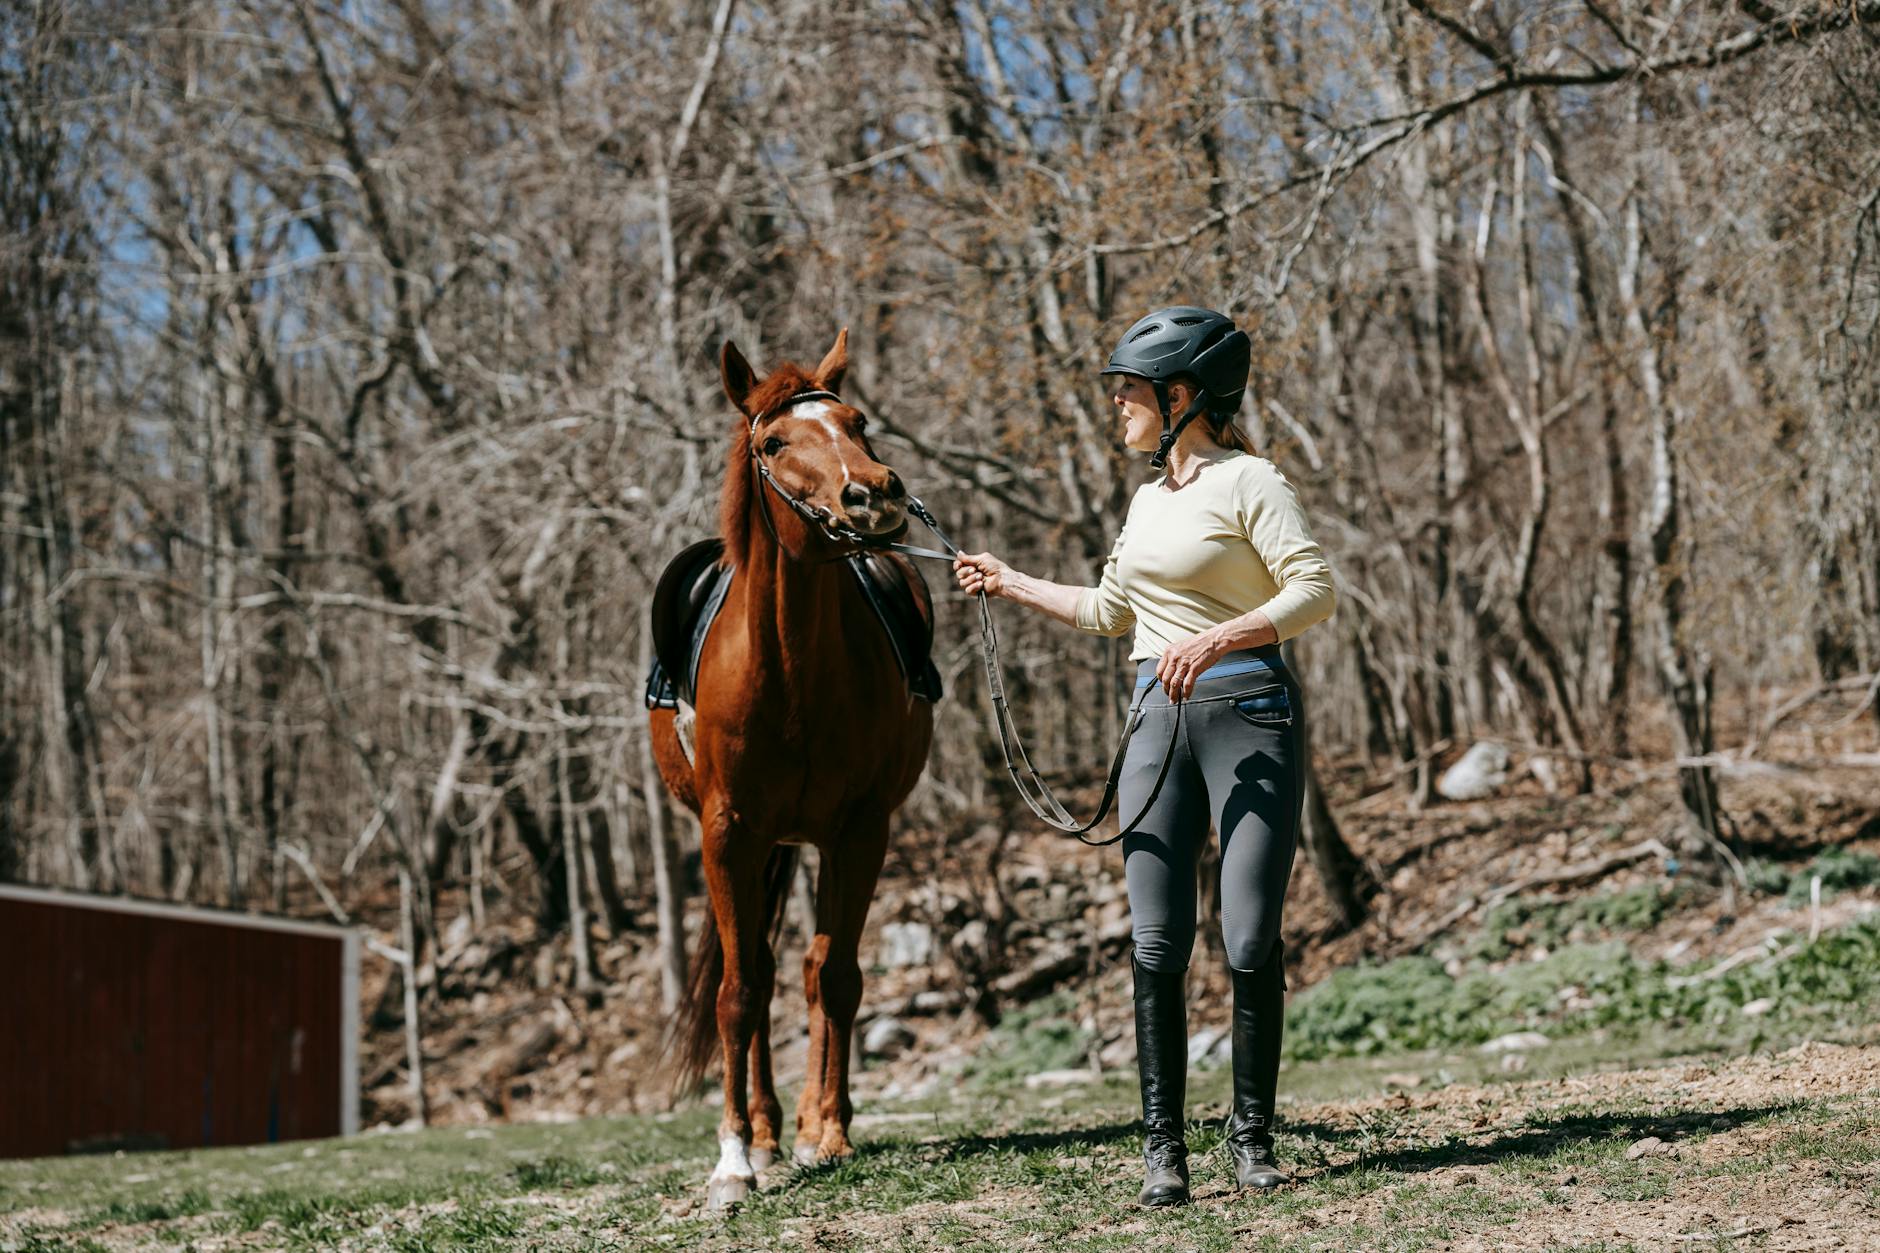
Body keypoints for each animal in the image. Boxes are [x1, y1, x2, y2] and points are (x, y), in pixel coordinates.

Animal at [651, 330, 935, 1209]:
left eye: (858, 420)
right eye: (774, 443)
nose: (872, 495)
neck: (790, 666)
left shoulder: (860, 831)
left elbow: (834, 976)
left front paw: (831, 1131)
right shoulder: (728, 834)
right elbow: (738, 990)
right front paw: (734, 1158)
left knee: (807, 971)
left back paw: (804, 1126)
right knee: (759, 971)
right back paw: (768, 1132)